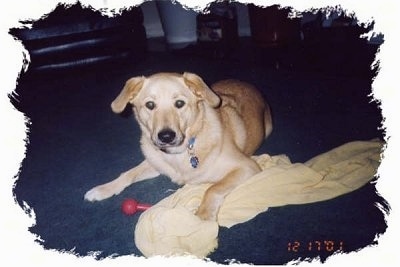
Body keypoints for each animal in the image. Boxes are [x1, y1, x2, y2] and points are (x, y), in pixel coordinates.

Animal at [84, 72, 272, 221]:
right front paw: (103, 189)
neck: (181, 152)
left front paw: (203, 216)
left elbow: (213, 188)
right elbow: (128, 174)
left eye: (180, 103)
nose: (166, 136)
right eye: (150, 105)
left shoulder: (246, 166)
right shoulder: (154, 163)